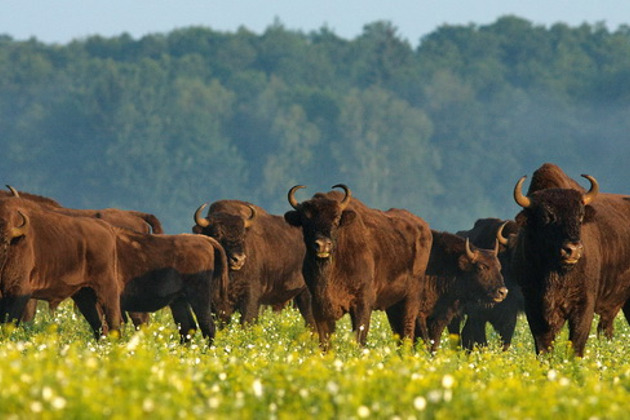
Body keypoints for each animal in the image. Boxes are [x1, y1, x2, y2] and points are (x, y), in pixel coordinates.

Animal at [0, 197, 123, 338]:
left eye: (5, 242)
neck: (15, 240)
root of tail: (107, 228)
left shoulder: (19, 290)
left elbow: (10, 321)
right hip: (84, 294)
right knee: (98, 324)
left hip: (107, 288)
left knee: (113, 319)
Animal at [286, 184, 434, 348]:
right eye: (305, 220)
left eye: (336, 218)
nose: (323, 245)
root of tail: (425, 227)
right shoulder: (319, 306)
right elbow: (325, 341)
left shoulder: (362, 304)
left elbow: (359, 337)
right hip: (393, 306)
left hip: (411, 298)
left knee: (408, 330)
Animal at [516, 166, 630, 356]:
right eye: (546, 217)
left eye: (580, 216)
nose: (573, 250)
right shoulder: (533, 304)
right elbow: (543, 345)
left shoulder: (584, 304)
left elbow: (576, 343)